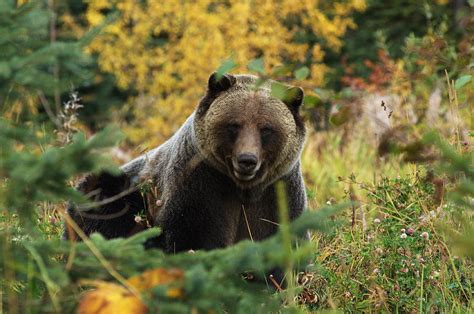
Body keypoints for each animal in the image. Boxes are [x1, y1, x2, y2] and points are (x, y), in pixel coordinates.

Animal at [65, 73, 306, 255]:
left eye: (266, 128)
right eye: (234, 125)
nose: (247, 160)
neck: (242, 188)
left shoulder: (277, 194)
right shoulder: (201, 185)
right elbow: (191, 239)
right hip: (118, 193)